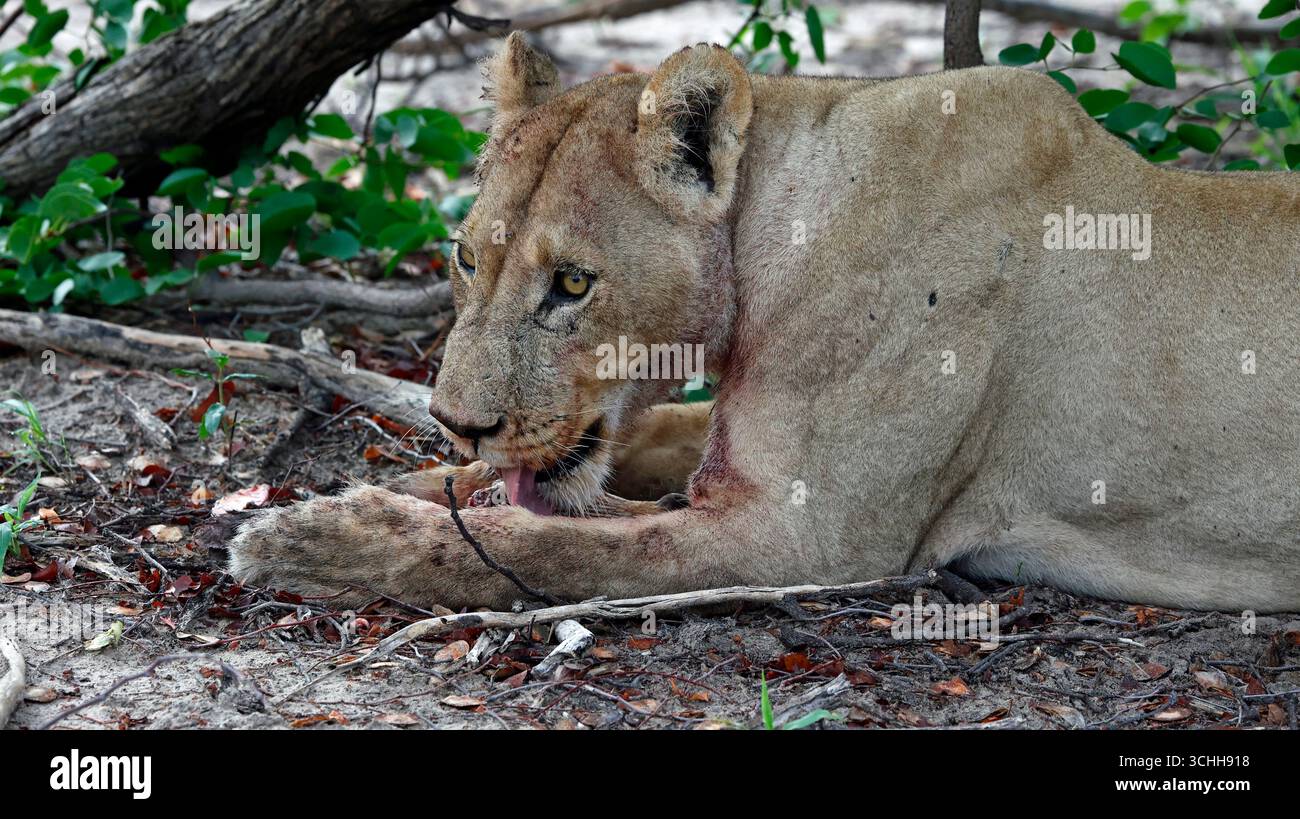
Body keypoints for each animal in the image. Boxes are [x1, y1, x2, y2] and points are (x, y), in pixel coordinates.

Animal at [229, 33, 1300, 613]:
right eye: (463, 259)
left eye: (572, 283)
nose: (458, 420)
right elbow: (603, 459)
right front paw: (401, 481)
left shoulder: (804, 537)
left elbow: (549, 549)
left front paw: (311, 539)